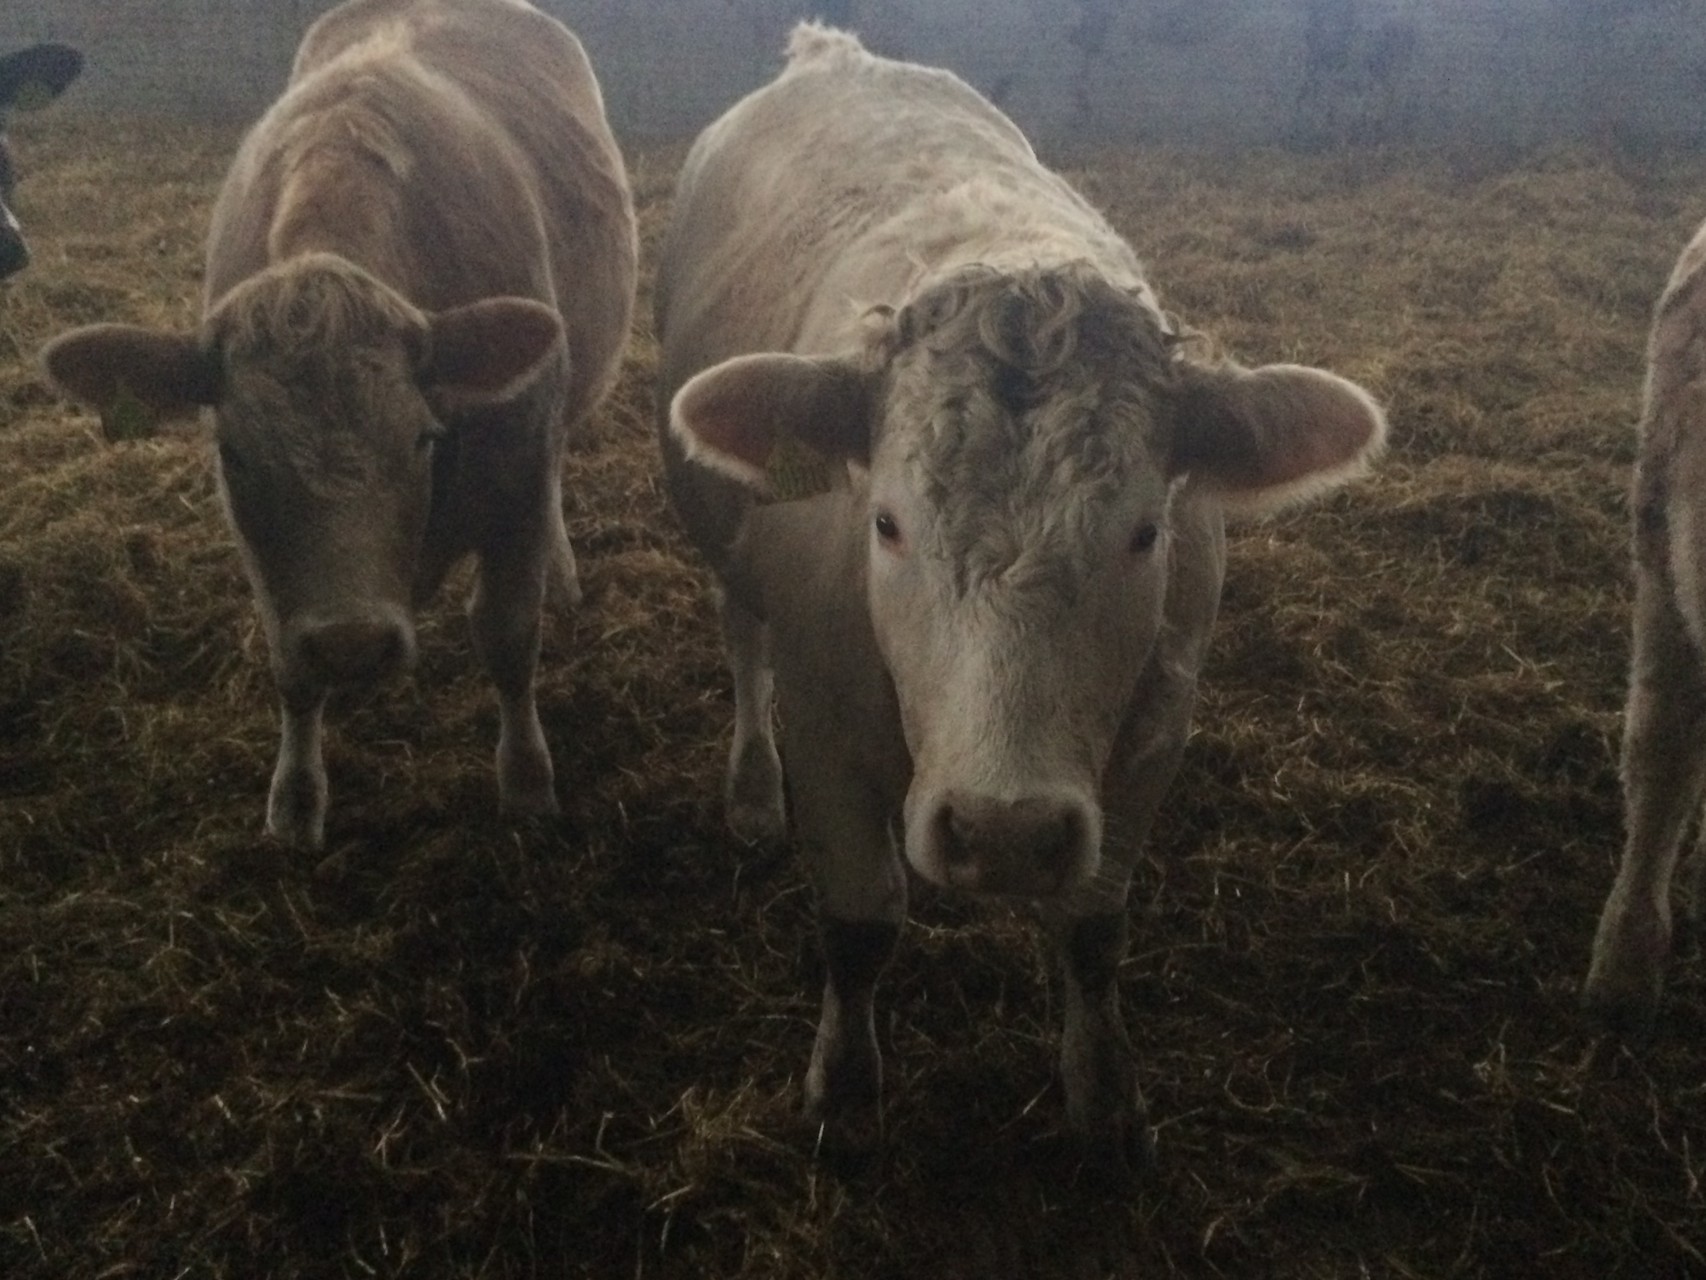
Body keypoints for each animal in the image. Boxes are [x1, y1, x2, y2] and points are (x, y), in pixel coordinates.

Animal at [41, 0, 641, 853]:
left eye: (422, 436)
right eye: (233, 452)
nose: (353, 642)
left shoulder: (517, 464)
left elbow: (507, 635)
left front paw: (526, 782)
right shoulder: (261, 550)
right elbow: (291, 668)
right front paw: (295, 799)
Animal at [651, 25, 1385, 1174]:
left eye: (1144, 532)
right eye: (886, 522)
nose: (1001, 829)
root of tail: (833, 53)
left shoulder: (1153, 727)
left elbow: (1091, 930)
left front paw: (1104, 1095)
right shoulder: (825, 723)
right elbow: (859, 923)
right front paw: (843, 1089)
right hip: (722, 535)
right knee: (741, 638)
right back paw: (750, 793)